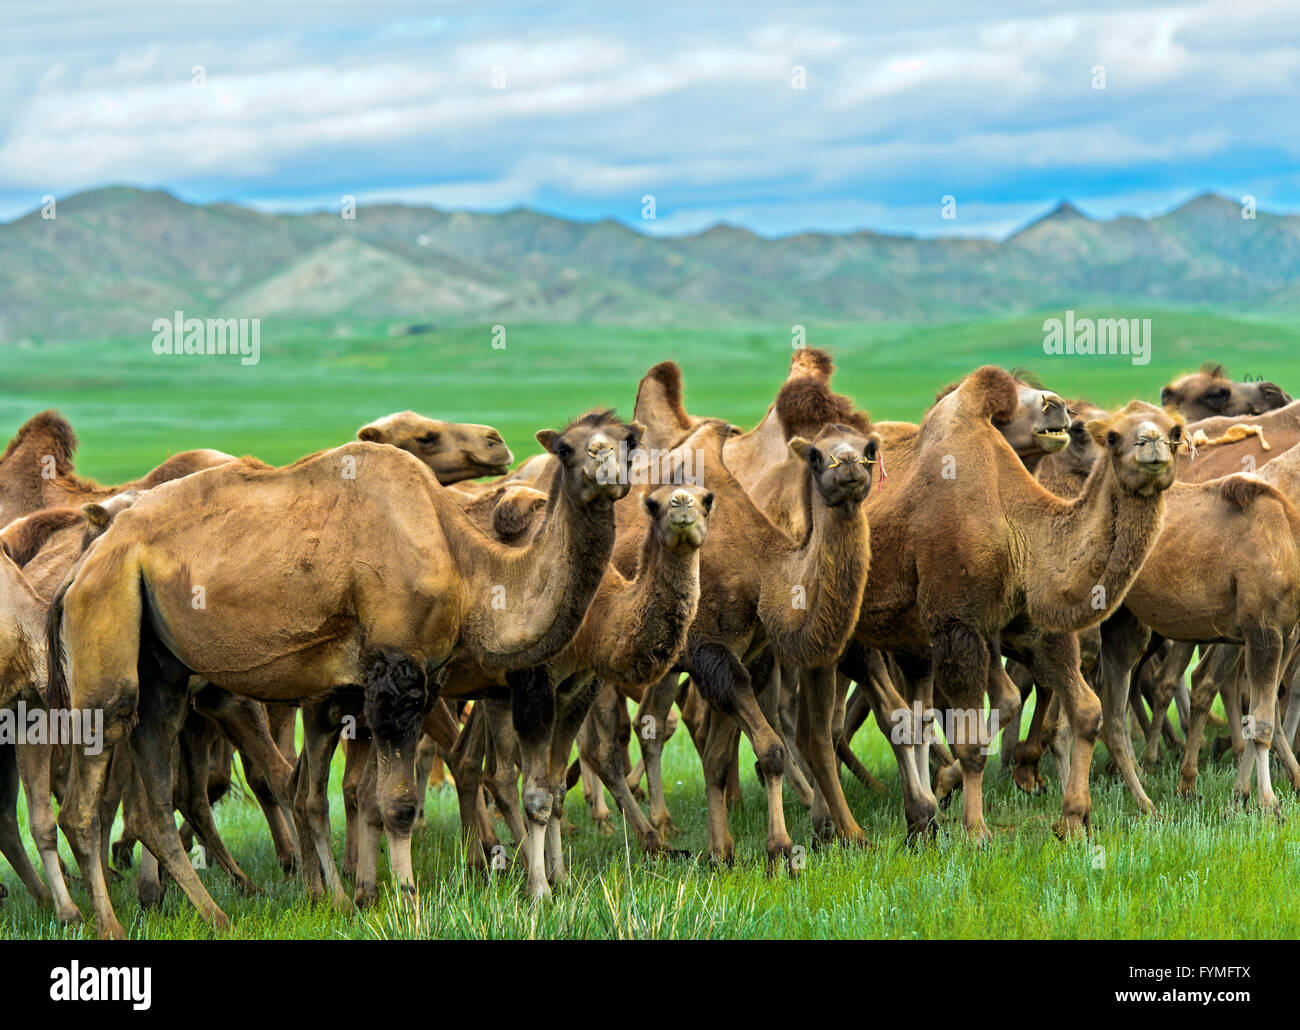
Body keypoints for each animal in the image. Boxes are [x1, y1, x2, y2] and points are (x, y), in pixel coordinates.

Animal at [48, 408, 642, 931]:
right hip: (106, 624)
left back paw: (216, 915)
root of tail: (85, 563)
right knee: (86, 789)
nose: (606, 471)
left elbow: (370, 794)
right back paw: (107, 923)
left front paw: (366, 894)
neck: (468, 562)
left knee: (156, 783)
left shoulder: (419, 680)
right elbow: (397, 803)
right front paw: (407, 901)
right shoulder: (395, 671)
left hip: (162, 665)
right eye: (565, 449)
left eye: (630, 440)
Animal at [847, 374, 1185, 842]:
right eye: (1113, 436)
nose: (1151, 444)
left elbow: (1086, 710)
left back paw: (922, 817)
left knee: (907, 715)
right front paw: (976, 830)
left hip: (903, 640)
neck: (1018, 527)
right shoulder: (957, 625)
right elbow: (972, 738)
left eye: (1175, 432)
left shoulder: (1033, 624)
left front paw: (1073, 819)